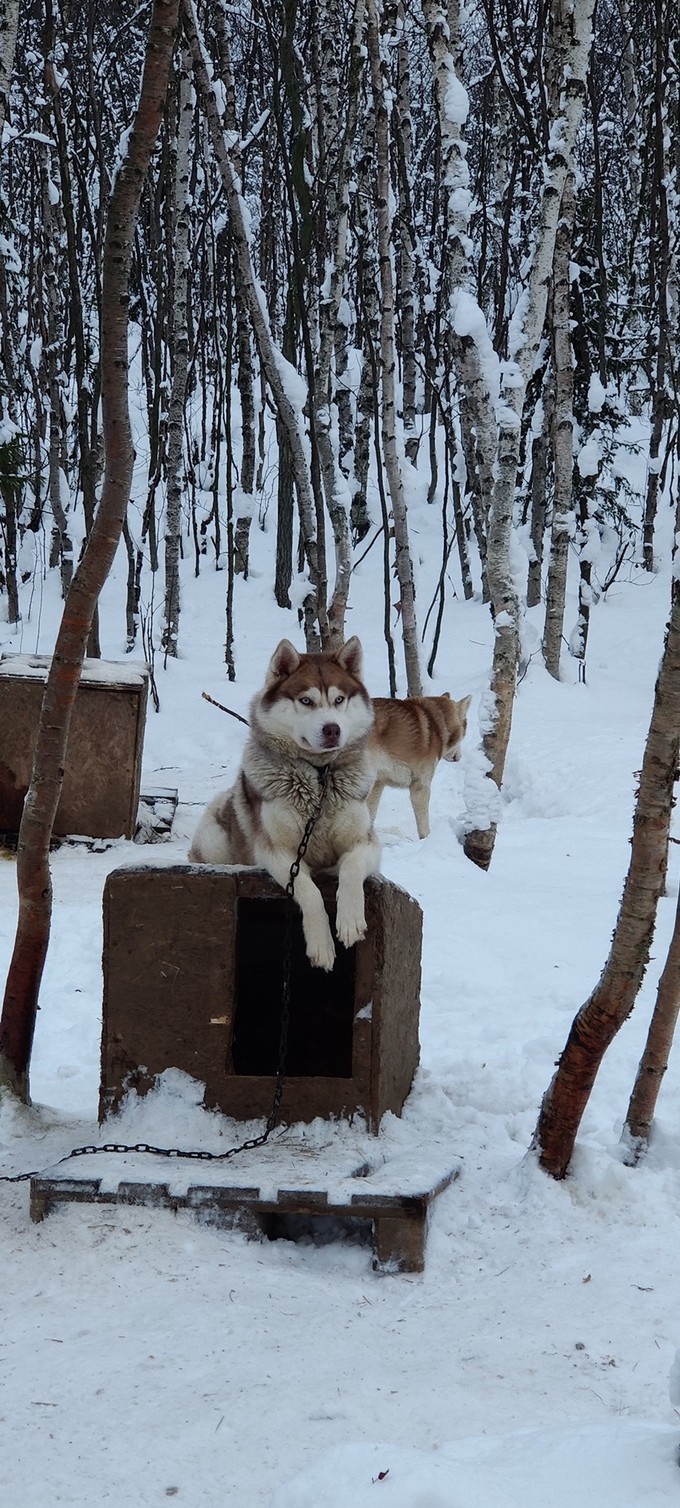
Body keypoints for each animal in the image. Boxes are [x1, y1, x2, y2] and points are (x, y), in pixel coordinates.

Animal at [189, 633, 379, 965]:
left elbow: (352, 867)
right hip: (214, 838)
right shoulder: (276, 851)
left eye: (339, 700)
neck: (318, 778)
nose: (332, 729)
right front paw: (321, 945)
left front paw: (349, 920)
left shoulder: (366, 843)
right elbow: (308, 891)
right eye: (306, 701)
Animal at [367, 690, 473, 844]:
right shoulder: (421, 787)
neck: (438, 724)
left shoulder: (378, 784)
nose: (459, 757)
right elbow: (424, 828)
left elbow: (370, 818)